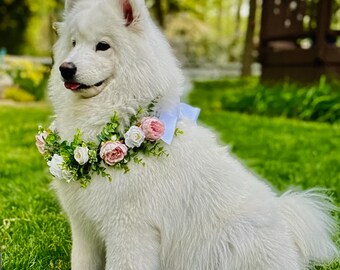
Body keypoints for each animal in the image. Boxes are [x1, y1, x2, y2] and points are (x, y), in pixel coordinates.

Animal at [46, 0, 338, 268]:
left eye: (103, 46)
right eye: (73, 43)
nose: (65, 68)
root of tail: (289, 234)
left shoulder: (129, 229)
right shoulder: (84, 228)